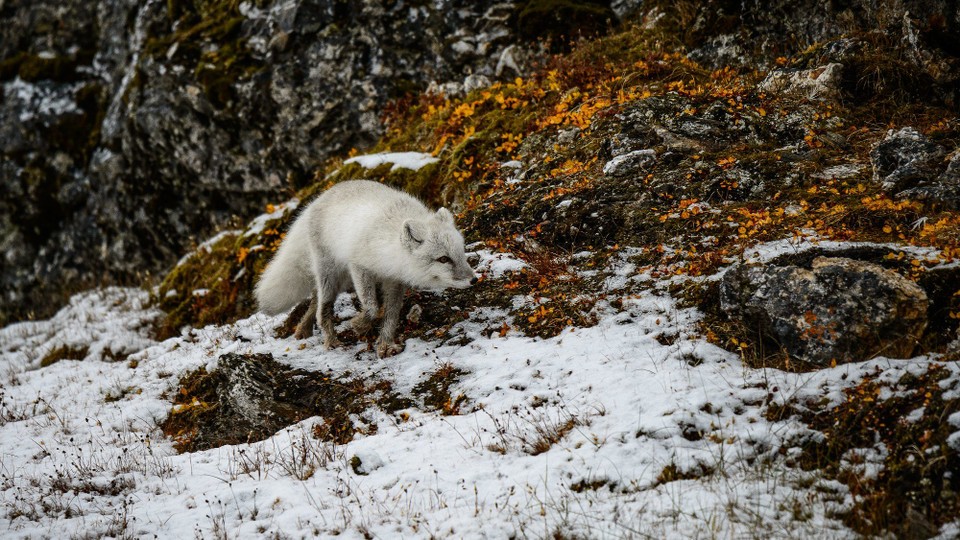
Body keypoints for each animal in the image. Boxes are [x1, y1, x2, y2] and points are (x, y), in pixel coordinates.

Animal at [255, 181, 480, 358]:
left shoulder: (394, 280)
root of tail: (317, 200)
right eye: (443, 259)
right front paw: (358, 326)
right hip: (331, 272)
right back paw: (330, 341)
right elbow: (372, 307)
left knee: (315, 300)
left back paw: (303, 329)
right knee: (323, 307)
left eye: (461, 252)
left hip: (341, 280)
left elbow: (391, 314)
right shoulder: (360, 267)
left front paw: (386, 344)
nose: (474, 280)